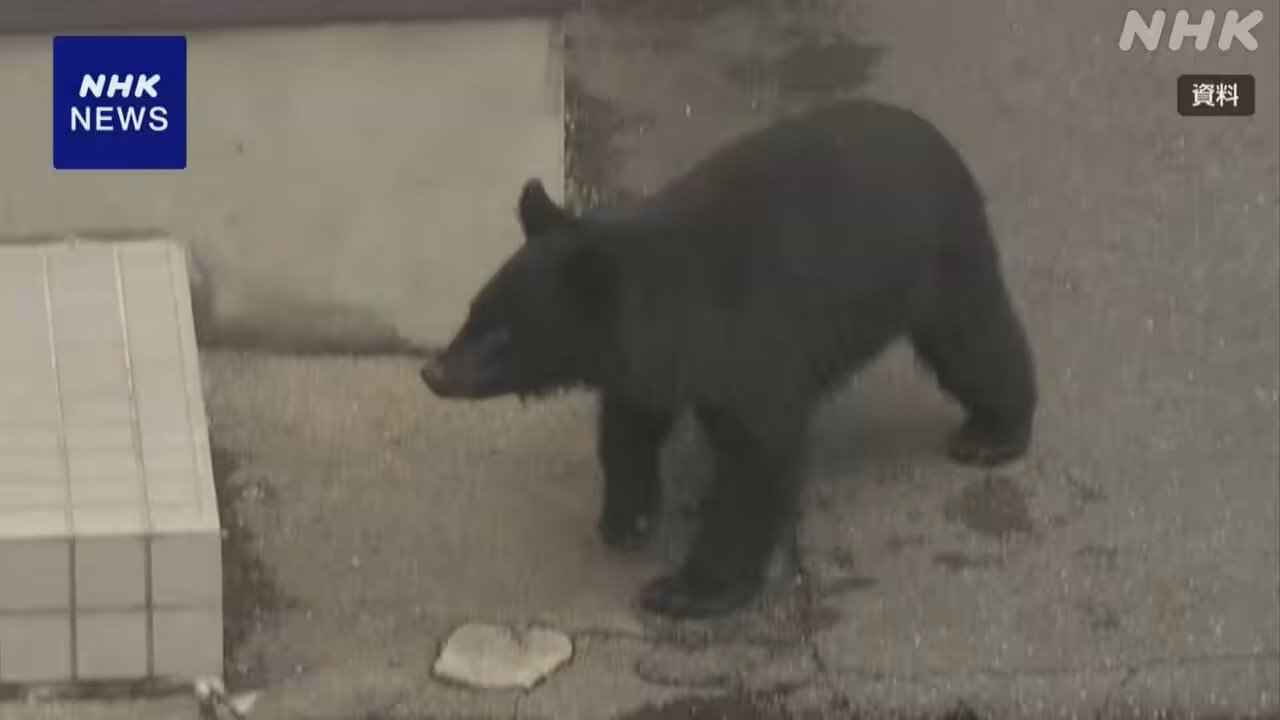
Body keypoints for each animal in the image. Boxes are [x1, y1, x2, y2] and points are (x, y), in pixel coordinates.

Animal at [419, 99, 1037, 619]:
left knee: (974, 339)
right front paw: (625, 518)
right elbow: (632, 421)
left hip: (937, 255)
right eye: (473, 309)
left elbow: (755, 459)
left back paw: (992, 434)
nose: (434, 372)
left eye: (502, 336)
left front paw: (684, 589)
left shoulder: (750, 345)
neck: (669, 311)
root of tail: (935, 135)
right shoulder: (651, 361)